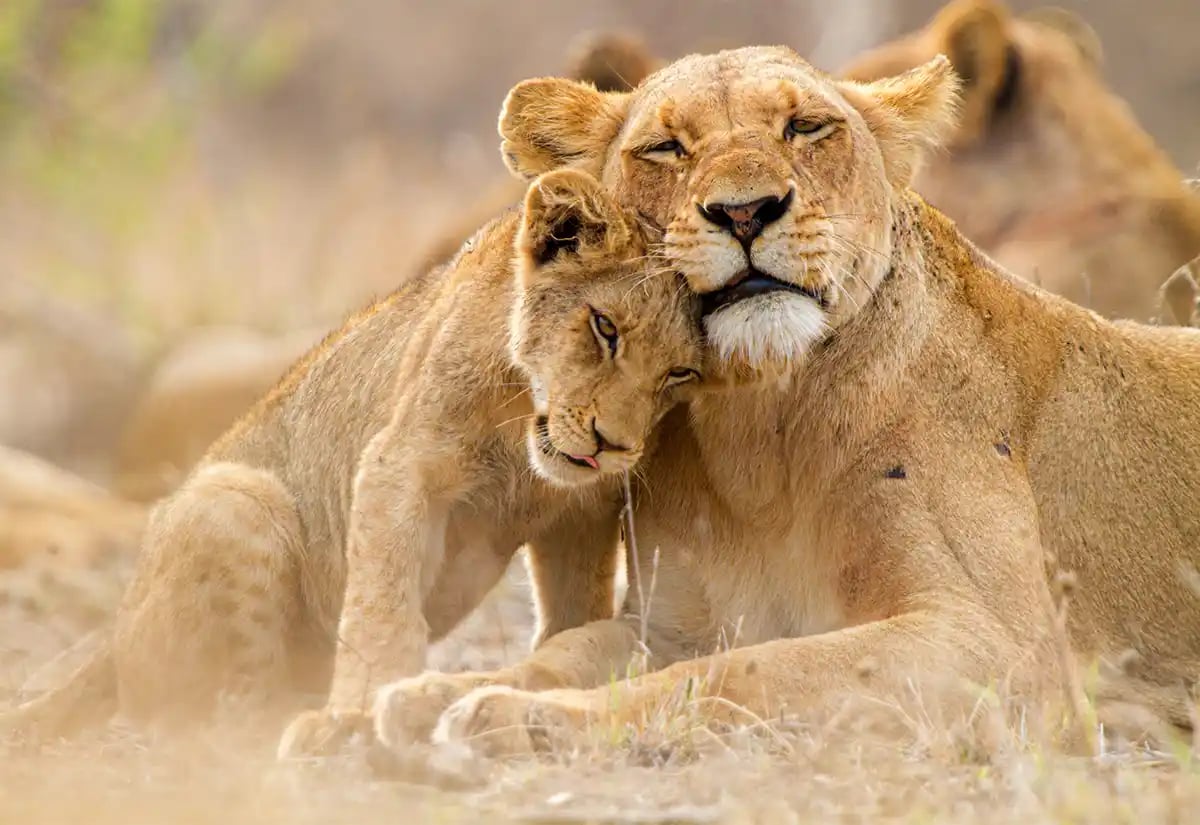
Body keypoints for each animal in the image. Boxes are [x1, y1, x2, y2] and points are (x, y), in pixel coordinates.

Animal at [0, 169, 704, 751]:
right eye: (605, 328)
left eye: (680, 373)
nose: (613, 446)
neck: (521, 427)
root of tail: (111, 639)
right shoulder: (400, 463)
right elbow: (381, 609)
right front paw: (361, 711)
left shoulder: (582, 511)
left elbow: (573, 613)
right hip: (233, 499)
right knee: (216, 721)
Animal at [367, 45, 1200, 758]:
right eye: (666, 148)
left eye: (806, 127)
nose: (745, 212)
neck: (758, 432)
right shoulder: (671, 623)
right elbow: (570, 648)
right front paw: (429, 694)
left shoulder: (1001, 647)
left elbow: (748, 672)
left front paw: (516, 718)